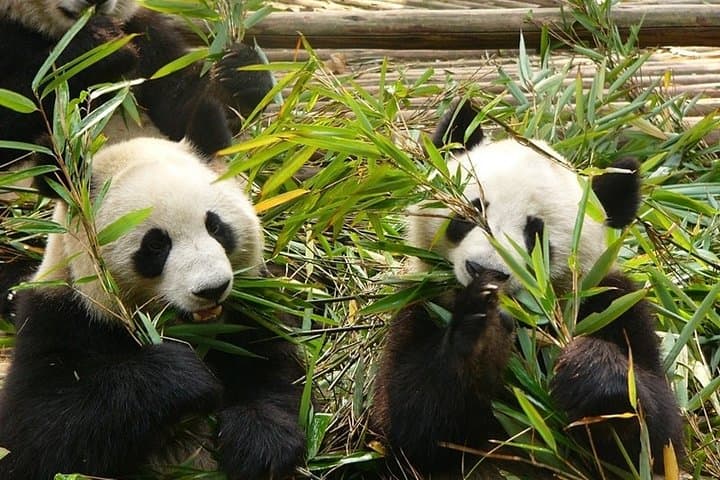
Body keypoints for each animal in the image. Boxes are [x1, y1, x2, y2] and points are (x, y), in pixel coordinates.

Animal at [0, 137, 306, 480]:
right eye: (156, 244)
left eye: (216, 227)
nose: (212, 289)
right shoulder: (60, 316)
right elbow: (34, 435)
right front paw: (184, 375)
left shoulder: (250, 310)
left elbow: (274, 368)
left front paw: (260, 441)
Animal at [372, 100, 684, 477]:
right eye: (469, 214)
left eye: (536, 234)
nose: (485, 270)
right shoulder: (423, 302)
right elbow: (408, 420)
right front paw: (484, 335)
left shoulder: (613, 303)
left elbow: (656, 441)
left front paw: (589, 370)